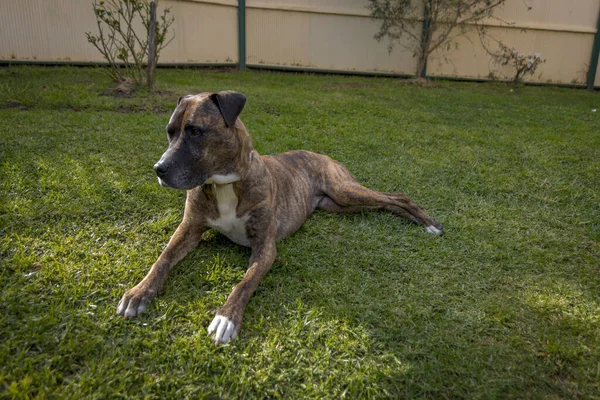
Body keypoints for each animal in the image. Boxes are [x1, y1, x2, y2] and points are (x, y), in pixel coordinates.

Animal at [118, 90, 446, 344]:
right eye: (170, 132)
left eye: (196, 131)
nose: (159, 169)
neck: (224, 184)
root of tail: (323, 155)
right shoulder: (189, 229)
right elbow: (162, 259)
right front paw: (139, 292)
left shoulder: (265, 247)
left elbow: (245, 283)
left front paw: (226, 317)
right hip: (341, 204)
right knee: (384, 205)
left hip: (344, 191)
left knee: (397, 197)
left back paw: (429, 223)